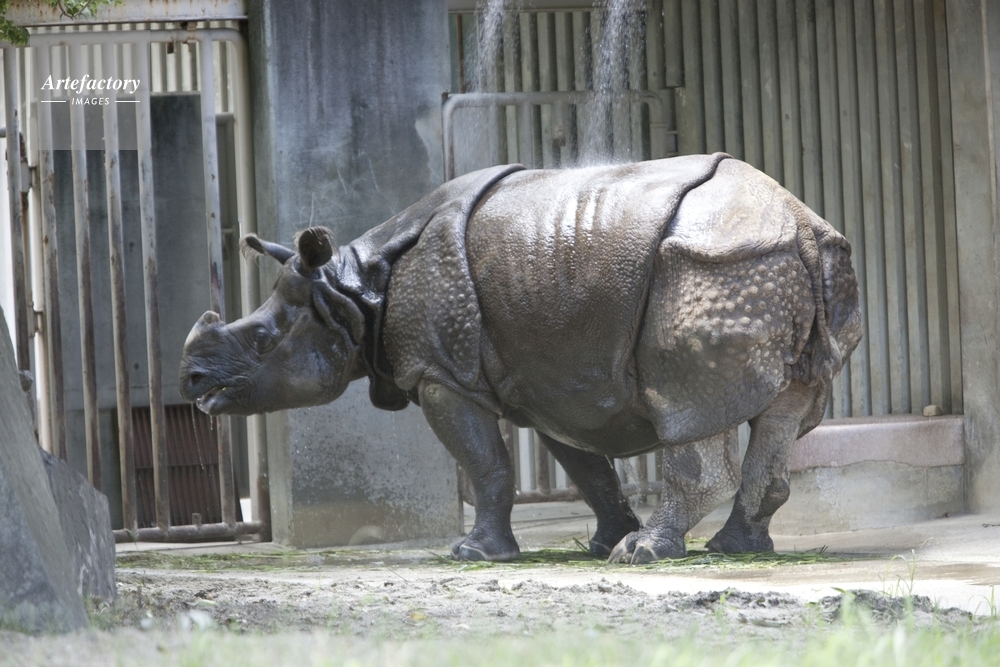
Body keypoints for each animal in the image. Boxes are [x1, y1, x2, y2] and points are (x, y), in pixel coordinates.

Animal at [179, 152, 862, 564]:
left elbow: (485, 464)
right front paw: (598, 543)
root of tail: (799, 224)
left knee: (685, 405)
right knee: (785, 411)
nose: (191, 380)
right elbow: (584, 465)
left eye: (262, 339)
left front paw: (474, 554)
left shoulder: (441, 374)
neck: (352, 291)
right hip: (781, 264)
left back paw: (648, 553)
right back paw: (735, 549)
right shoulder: (553, 376)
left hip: (713, 266)